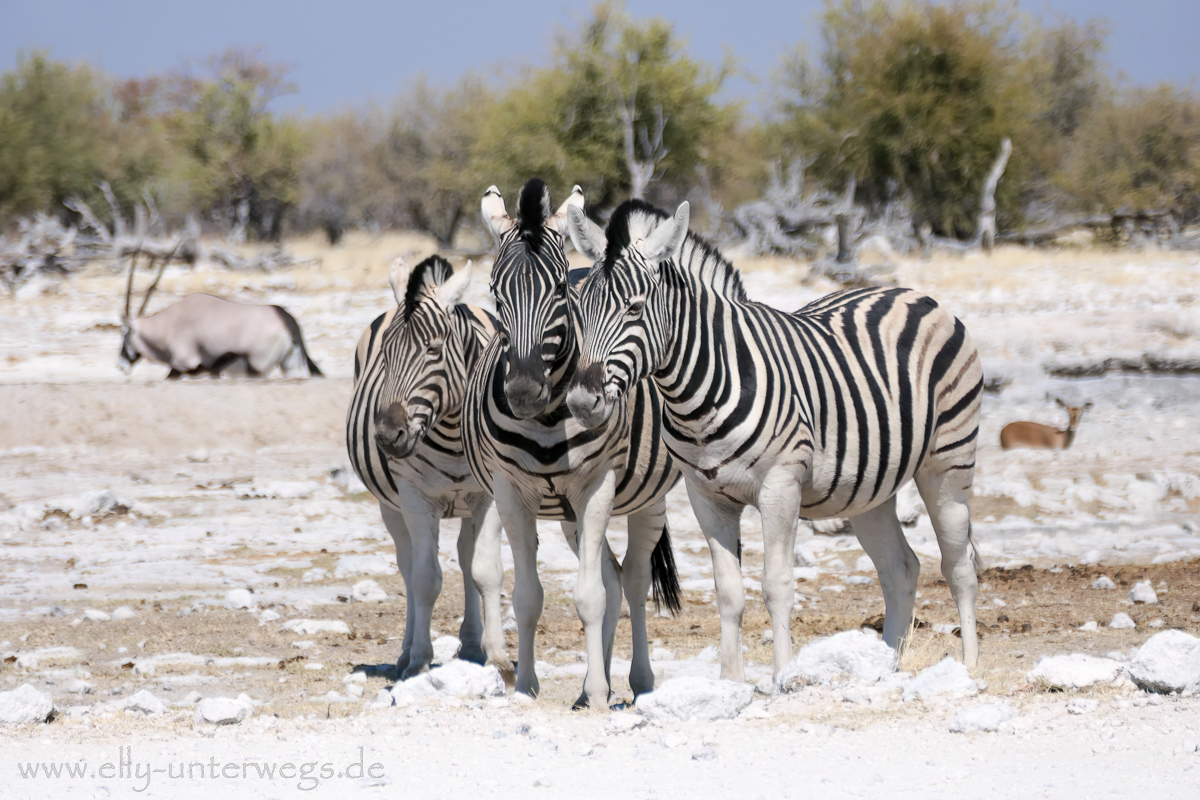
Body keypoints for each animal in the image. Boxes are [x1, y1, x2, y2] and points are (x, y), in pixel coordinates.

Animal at [343, 255, 506, 681]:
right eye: (386, 354)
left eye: (433, 349)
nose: (386, 436)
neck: (450, 434)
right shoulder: (415, 499)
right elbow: (425, 578)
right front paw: (417, 660)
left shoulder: (492, 496)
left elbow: (486, 571)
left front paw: (498, 657)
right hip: (390, 506)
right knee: (407, 566)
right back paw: (405, 653)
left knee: (466, 558)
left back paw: (472, 645)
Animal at [460, 179, 681, 705]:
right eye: (495, 292)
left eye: (560, 289)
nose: (522, 391)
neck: (545, 419)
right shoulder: (511, 491)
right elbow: (528, 596)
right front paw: (525, 686)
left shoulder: (597, 486)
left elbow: (589, 597)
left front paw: (600, 695)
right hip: (567, 516)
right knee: (613, 578)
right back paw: (588, 686)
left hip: (647, 498)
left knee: (633, 581)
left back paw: (637, 682)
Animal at [561, 196, 984, 686]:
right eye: (577, 307)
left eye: (634, 308)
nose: (581, 401)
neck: (699, 392)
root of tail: (911, 293)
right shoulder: (706, 496)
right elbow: (729, 591)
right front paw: (731, 683)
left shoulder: (781, 487)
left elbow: (776, 585)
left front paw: (784, 678)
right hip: (868, 489)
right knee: (900, 568)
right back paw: (887, 666)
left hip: (949, 464)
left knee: (958, 565)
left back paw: (970, 668)